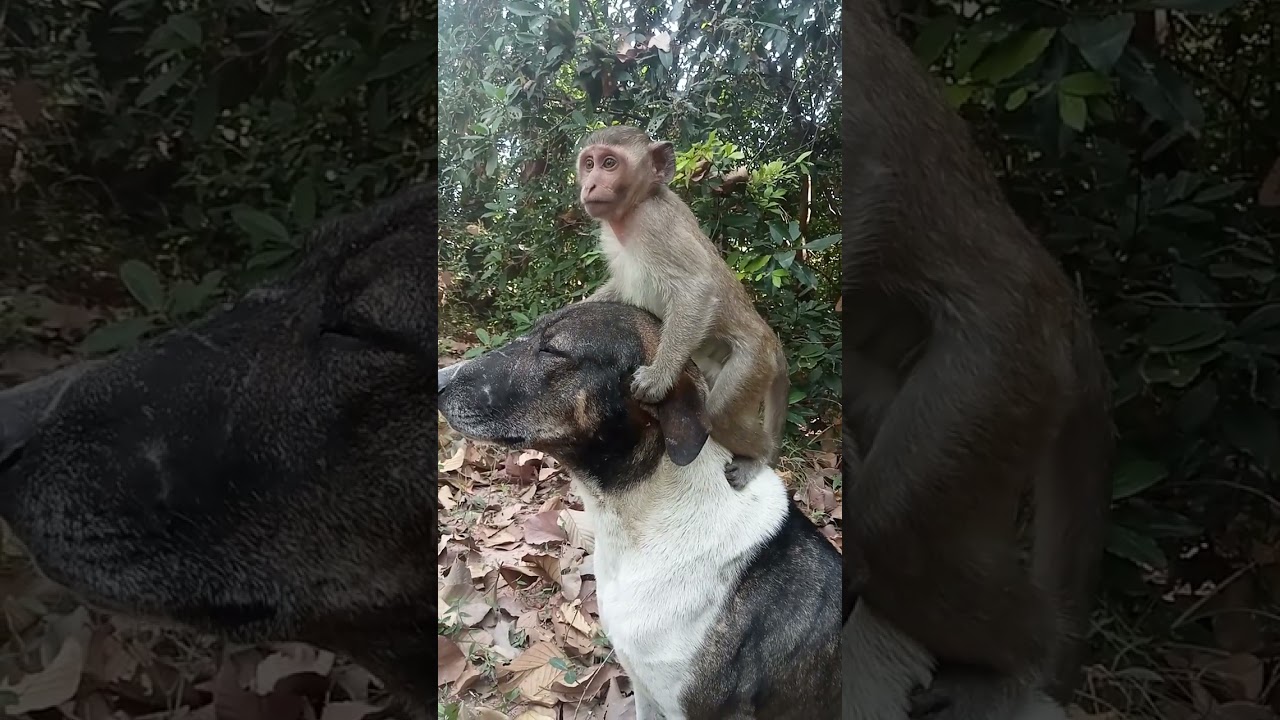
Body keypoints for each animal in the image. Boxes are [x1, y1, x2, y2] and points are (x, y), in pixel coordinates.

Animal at [574, 125, 791, 487]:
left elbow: (697, 290)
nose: (589, 184)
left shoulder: (656, 224)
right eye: (588, 164)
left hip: (753, 362)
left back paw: (759, 456)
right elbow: (621, 289)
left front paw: (658, 377)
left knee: (719, 412)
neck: (634, 210)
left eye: (609, 163)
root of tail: (772, 342)